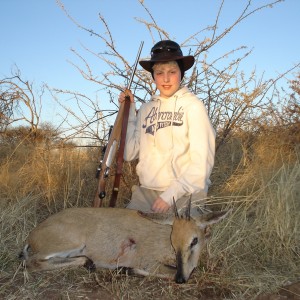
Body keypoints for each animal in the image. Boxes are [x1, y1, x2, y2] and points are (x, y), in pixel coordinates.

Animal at [19, 202, 229, 284]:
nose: (181, 278)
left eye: (194, 240)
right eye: (173, 239)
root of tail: (32, 236)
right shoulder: (150, 262)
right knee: (31, 263)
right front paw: (127, 269)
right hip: (69, 244)